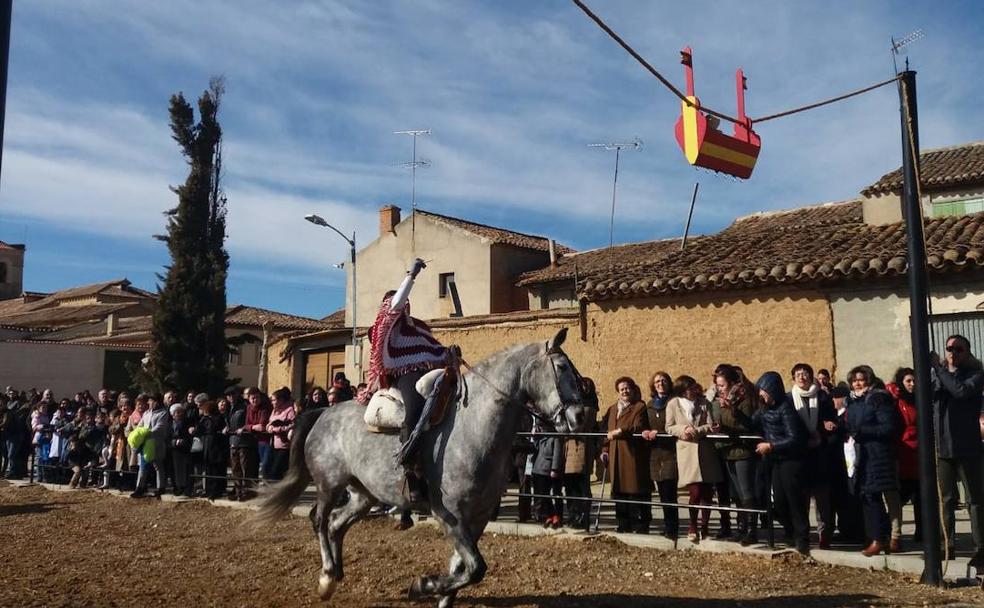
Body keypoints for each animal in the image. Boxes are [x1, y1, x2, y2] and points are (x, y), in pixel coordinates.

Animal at [258, 330, 588, 604]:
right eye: (562, 367)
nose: (579, 416)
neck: (473, 427)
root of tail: (322, 413)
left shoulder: (477, 518)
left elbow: (463, 569)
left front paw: (436, 593)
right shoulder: (450, 516)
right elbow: (474, 568)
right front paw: (422, 586)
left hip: (364, 493)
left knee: (337, 524)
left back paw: (336, 574)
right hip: (329, 484)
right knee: (319, 519)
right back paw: (327, 576)